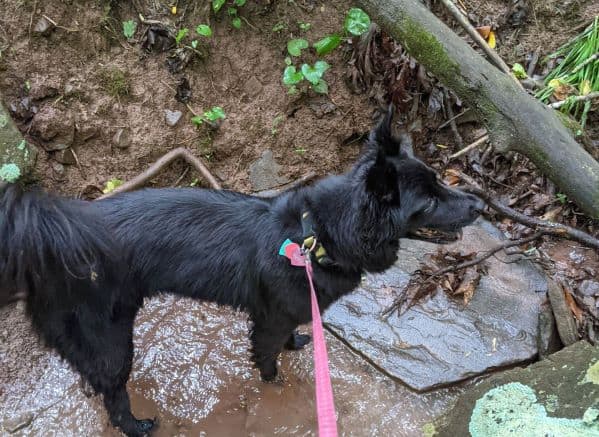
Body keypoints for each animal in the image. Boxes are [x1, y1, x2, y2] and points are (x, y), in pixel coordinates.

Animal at [0, 108, 482, 432]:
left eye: (439, 179)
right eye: (429, 202)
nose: (480, 204)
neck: (318, 237)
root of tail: (46, 245)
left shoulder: (286, 310)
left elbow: (288, 336)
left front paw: (296, 344)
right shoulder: (271, 317)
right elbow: (266, 355)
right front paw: (275, 382)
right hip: (111, 337)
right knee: (114, 394)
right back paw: (138, 426)